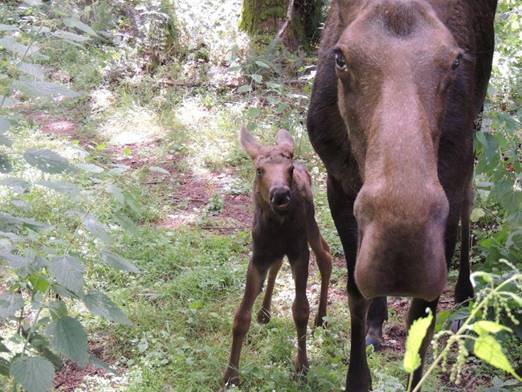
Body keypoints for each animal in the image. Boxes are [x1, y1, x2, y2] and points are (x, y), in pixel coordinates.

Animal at [221, 127, 332, 388]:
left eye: (288, 169)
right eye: (259, 170)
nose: (280, 194)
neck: (278, 227)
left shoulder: (299, 251)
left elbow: (301, 310)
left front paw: (302, 367)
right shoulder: (259, 254)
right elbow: (241, 316)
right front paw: (231, 375)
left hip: (310, 224)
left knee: (325, 254)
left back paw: (321, 317)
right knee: (278, 263)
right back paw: (264, 311)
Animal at [306, 0, 498, 390]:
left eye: (455, 61)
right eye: (340, 58)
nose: (402, 251)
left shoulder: (451, 182)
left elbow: (422, 316)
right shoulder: (338, 181)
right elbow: (355, 293)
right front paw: (358, 373)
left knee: (470, 199)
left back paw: (464, 298)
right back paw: (376, 324)